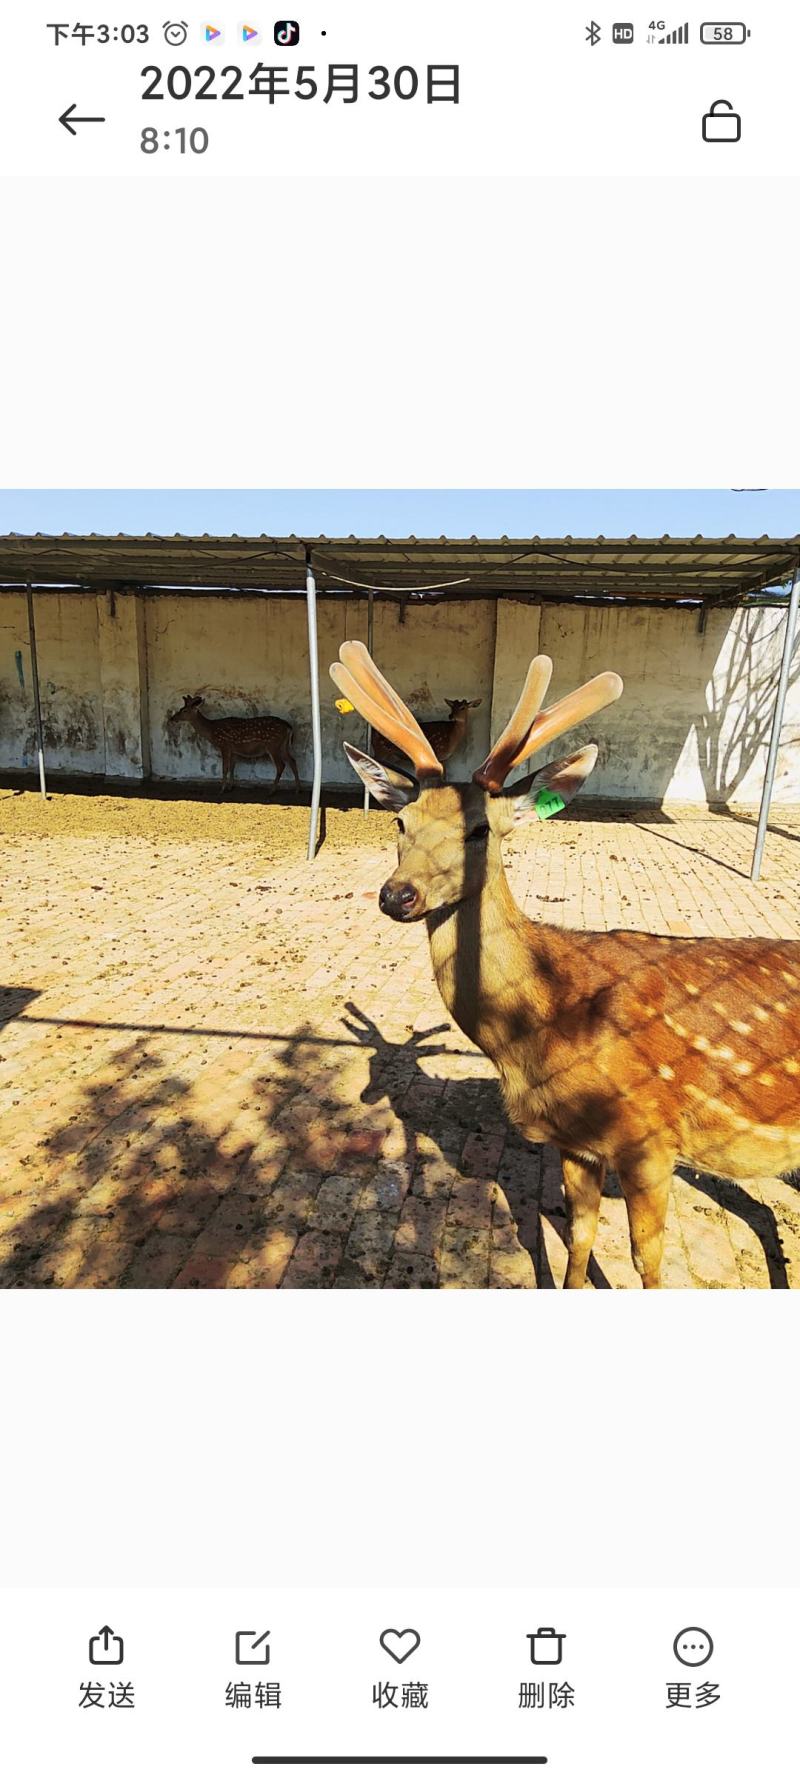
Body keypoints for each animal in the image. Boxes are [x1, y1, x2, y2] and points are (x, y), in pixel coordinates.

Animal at [168, 694, 300, 792]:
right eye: (180, 709)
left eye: (184, 710)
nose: (172, 718)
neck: (212, 731)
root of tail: (289, 727)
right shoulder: (234, 749)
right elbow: (232, 767)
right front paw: (230, 787)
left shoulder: (224, 745)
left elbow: (225, 768)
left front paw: (222, 789)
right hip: (283, 745)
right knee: (292, 761)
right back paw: (297, 789)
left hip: (273, 745)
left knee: (281, 765)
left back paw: (272, 790)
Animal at [331, 641, 800, 1289]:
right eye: (401, 823)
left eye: (480, 829)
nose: (397, 895)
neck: (536, 1035)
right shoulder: (575, 1141)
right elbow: (578, 1236)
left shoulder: (650, 1139)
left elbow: (647, 1262)